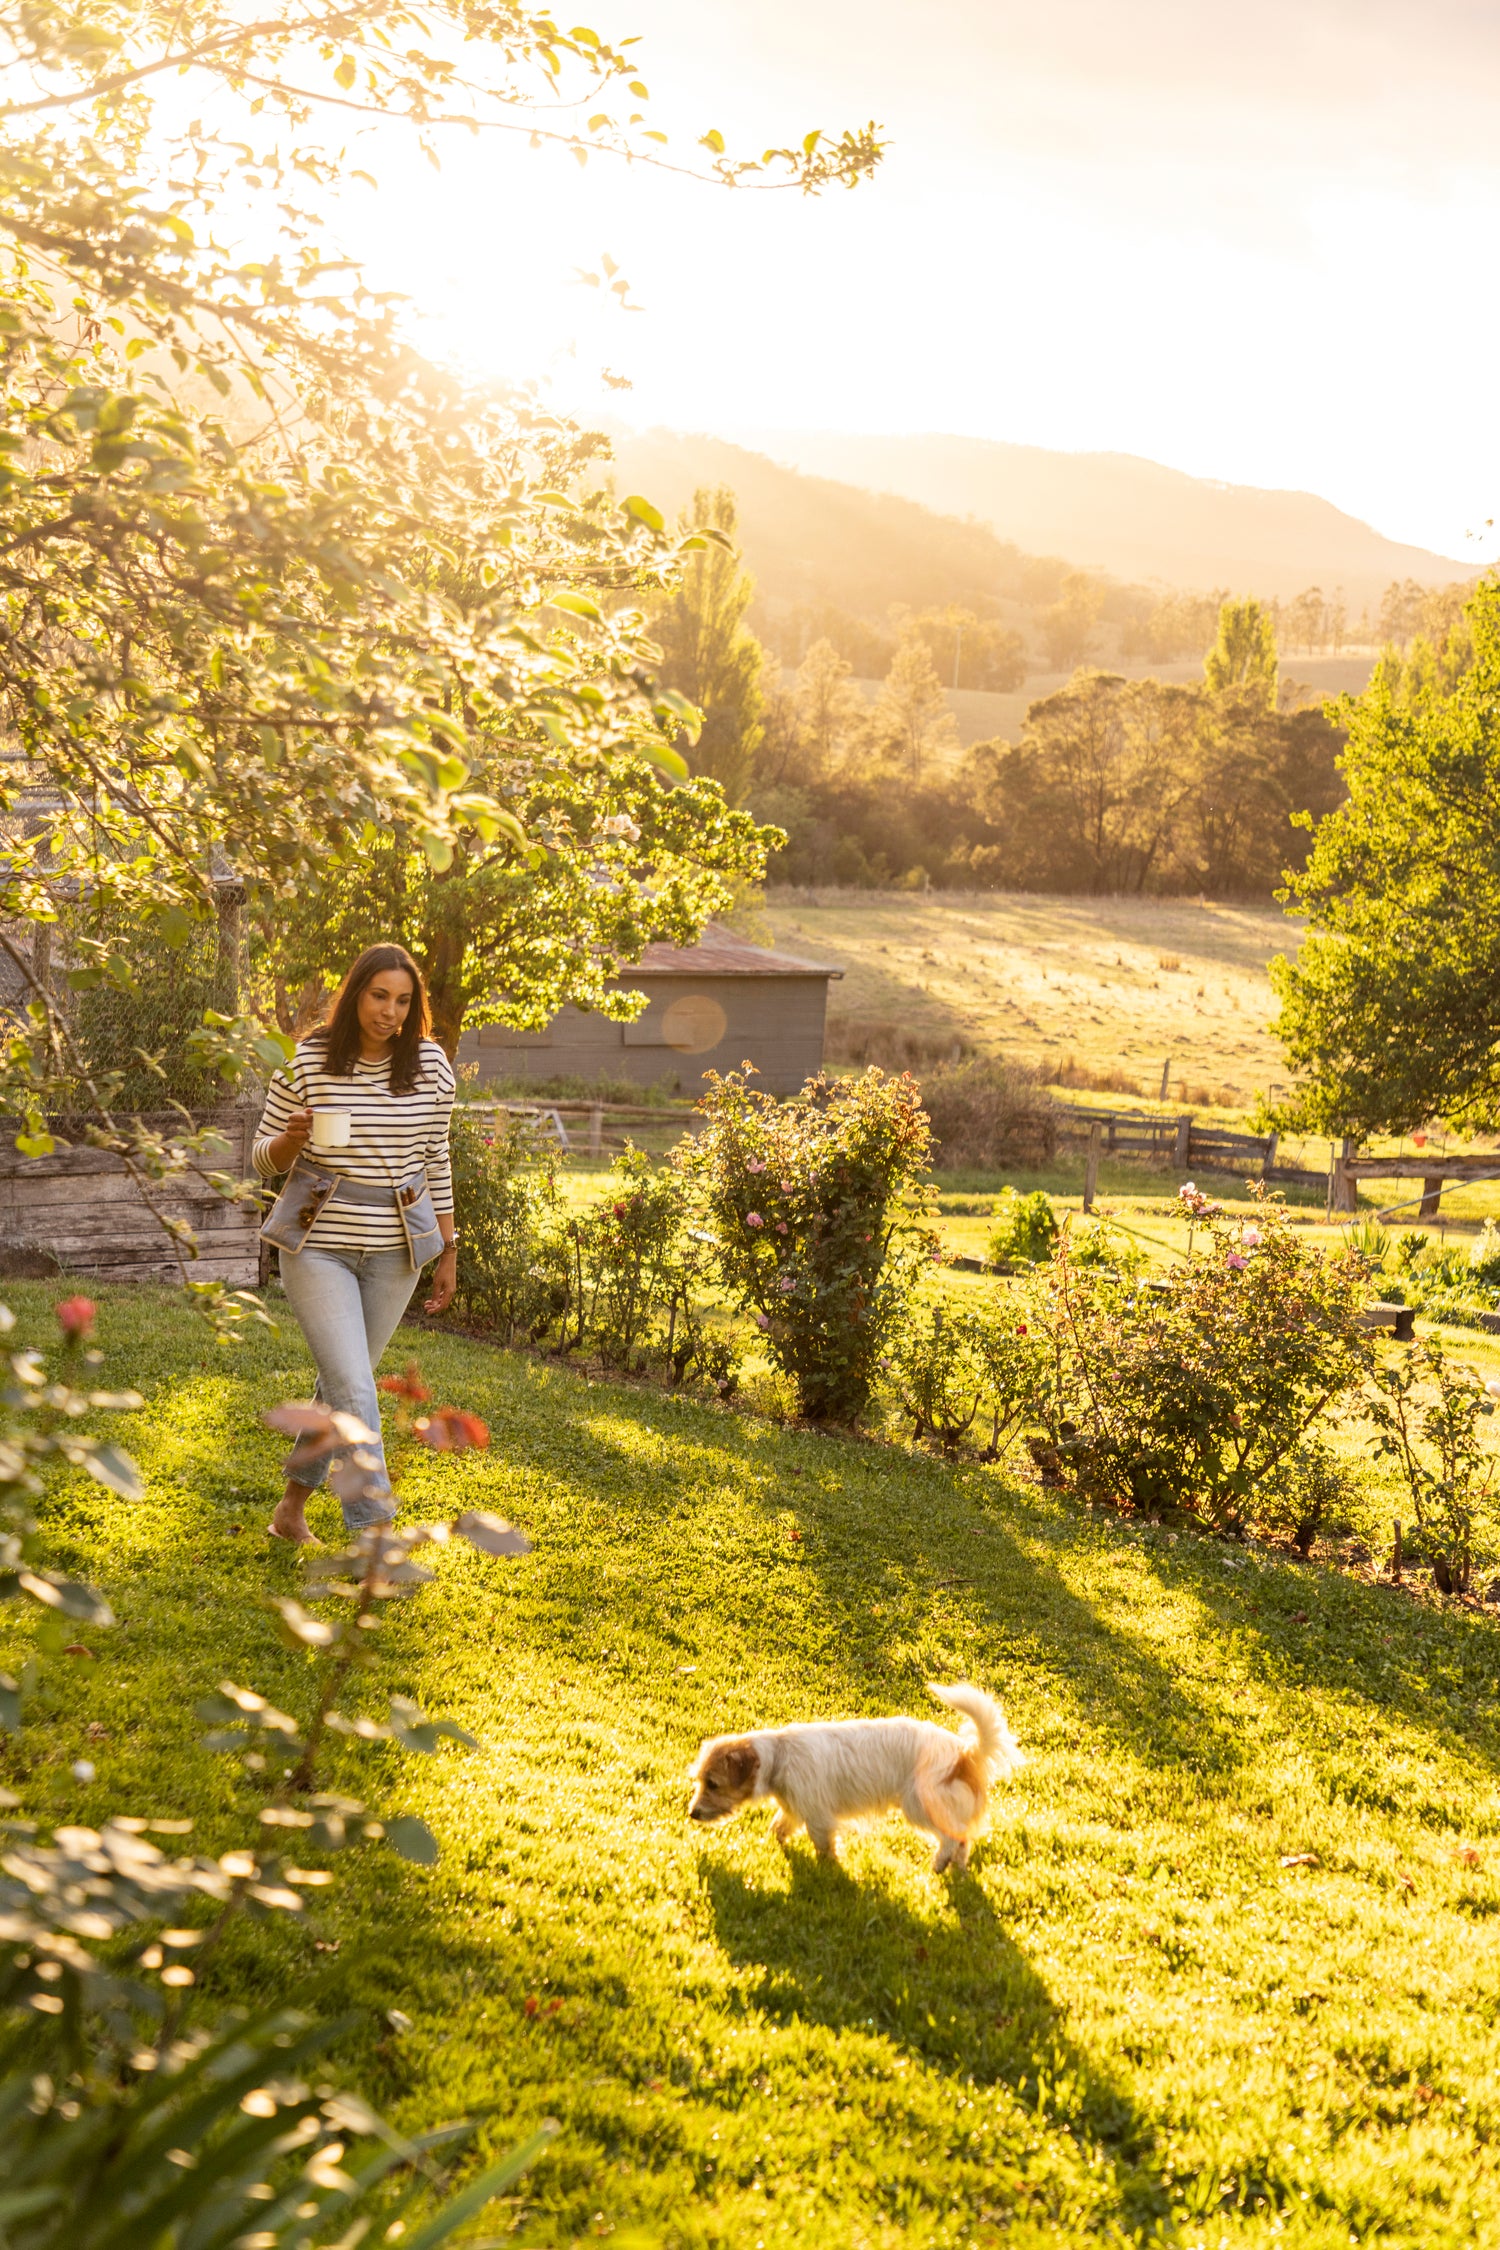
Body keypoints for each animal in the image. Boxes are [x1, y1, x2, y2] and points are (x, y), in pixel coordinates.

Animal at [688, 1683, 1020, 1872]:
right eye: (700, 1781)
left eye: (713, 1783)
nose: (692, 1814)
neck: (779, 1756)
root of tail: (965, 1753)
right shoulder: (795, 1809)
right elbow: (778, 1830)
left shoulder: (819, 1819)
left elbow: (824, 1847)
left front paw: (828, 1874)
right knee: (964, 1840)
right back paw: (957, 1871)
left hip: (920, 1807)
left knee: (952, 1837)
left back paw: (939, 1864)